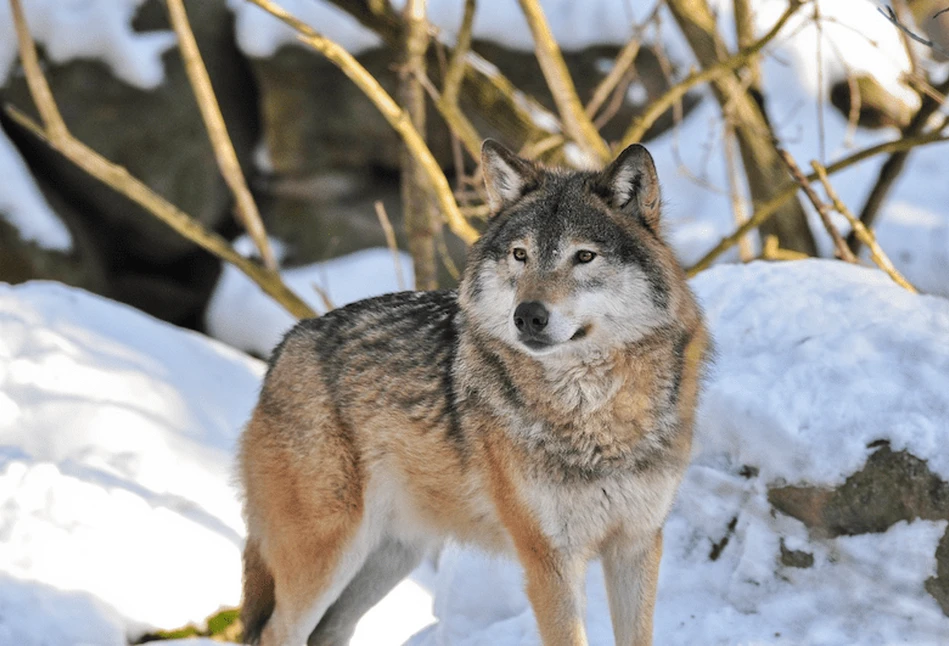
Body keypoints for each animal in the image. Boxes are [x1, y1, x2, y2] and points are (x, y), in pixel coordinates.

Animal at [239, 142, 712, 646]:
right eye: (520, 255)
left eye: (584, 256)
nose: (528, 315)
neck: (594, 414)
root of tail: (287, 343)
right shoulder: (549, 559)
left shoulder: (637, 545)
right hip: (328, 554)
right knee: (275, 633)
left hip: (389, 559)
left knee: (328, 632)